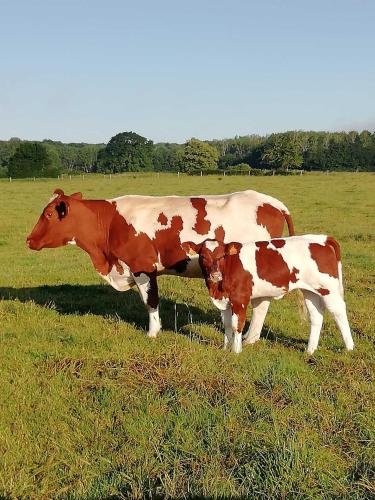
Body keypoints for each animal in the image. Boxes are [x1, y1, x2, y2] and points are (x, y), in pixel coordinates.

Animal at [26, 189, 296, 338]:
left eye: (48, 214)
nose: (28, 239)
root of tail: (271, 202)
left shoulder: (142, 266)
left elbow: (151, 301)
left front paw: (153, 332)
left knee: (261, 304)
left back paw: (250, 338)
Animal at [197, 236, 356, 354]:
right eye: (203, 256)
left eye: (222, 256)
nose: (215, 275)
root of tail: (321, 238)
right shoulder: (224, 302)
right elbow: (227, 324)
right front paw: (225, 349)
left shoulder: (240, 299)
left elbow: (237, 325)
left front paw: (236, 351)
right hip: (311, 291)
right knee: (316, 315)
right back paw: (310, 350)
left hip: (328, 289)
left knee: (338, 310)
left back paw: (349, 348)